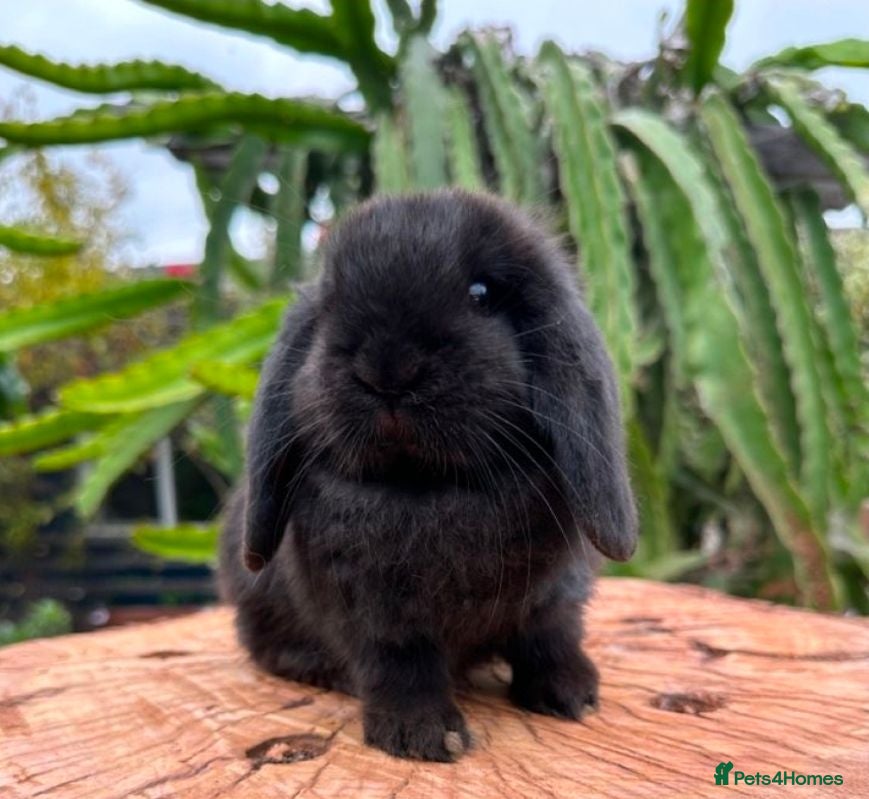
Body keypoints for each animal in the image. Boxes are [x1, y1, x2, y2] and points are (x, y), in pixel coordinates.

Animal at [219, 189, 637, 762]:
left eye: (482, 293)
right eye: (329, 307)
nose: (387, 370)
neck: (425, 489)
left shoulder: (555, 595)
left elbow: (550, 638)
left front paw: (573, 695)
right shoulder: (376, 617)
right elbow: (400, 667)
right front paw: (423, 735)